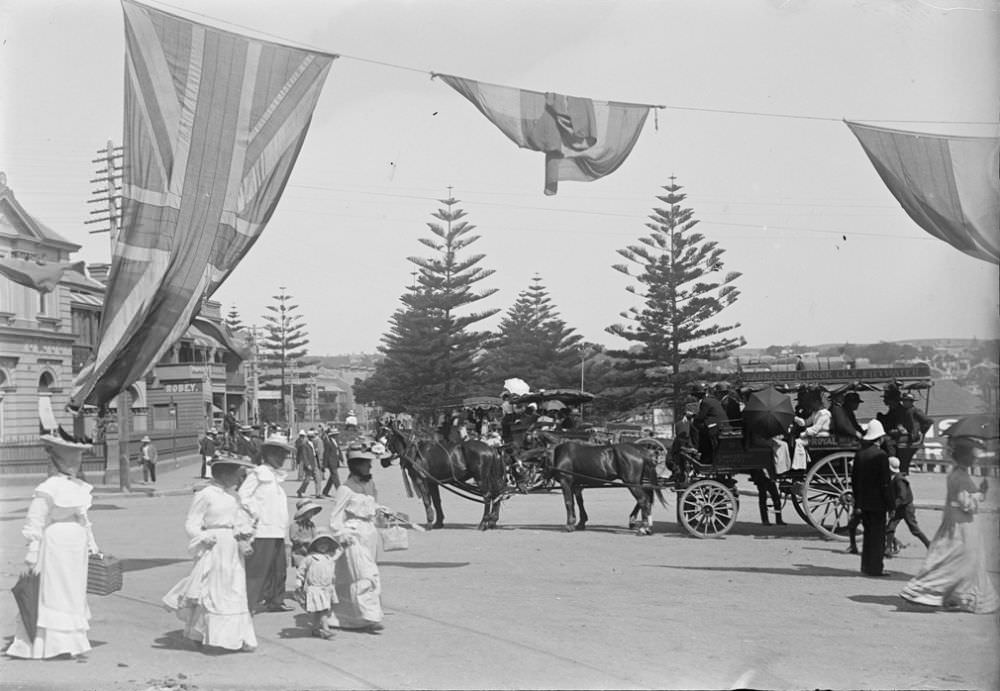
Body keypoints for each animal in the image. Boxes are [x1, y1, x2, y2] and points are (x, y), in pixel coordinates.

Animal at [382, 428, 520, 528]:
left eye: (388, 438)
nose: (383, 461)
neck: (416, 451)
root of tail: (492, 447)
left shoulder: (421, 480)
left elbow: (427, 501)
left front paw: (429, 523)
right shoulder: (433, 482)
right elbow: (437, 501)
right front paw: (438, 523)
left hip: (481, 478)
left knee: (487, 496)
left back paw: (483, 523)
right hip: (493, 477)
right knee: (497, 495)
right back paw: (492, 521)